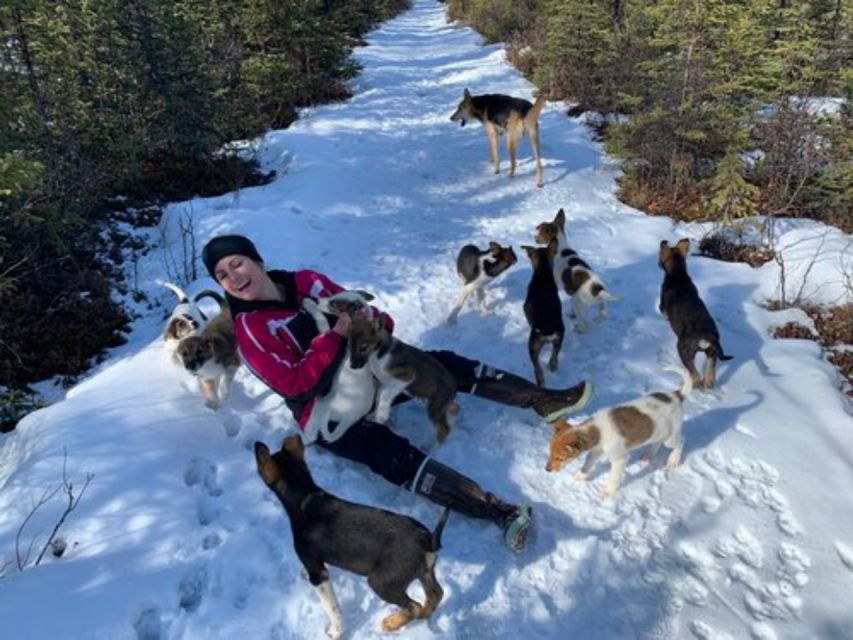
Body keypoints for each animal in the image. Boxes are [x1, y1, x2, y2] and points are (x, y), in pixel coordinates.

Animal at [255, 432, 450, 636]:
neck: (304, 496)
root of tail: (428, 539)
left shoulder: (319, 575)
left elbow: (332, 607)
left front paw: (335, 631)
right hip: (425, 571)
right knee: (436, 594)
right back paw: (423, 615)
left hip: (381, 581)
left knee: (414, 606)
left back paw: (391, 623)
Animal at [348, 312, 460, 442]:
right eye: (350, 346)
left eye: (363, 348)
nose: (352, 366)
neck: (378, 353)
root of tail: (454, 385)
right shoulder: (385, 383)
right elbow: (378, 399)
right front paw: (374, 416)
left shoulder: (406, 376)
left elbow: (384, 397)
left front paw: (381, 416)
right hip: (435, 403)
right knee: (455, 408)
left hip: (434, 407)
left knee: (444, 430)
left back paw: (428, 446)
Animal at [544, 364, 692, 500]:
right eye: (550, 453)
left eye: (559, 458)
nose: (547, 470)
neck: (597, 430)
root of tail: (676, 395)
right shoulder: (596, 450)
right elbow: (587, 462)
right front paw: (580, 476)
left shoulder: (619, 459)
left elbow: (613, 478)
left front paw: (608, 492)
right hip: (658, 431)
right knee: (657, 442)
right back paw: (648, 456)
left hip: (670, 437)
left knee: (681, 441)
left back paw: (673, 461)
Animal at [660, 240, 732, 390]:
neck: (678, 273)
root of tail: (704, 339)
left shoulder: (662, 306)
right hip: (712, 353)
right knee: (709, 375)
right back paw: (707, 383)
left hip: (683, 350)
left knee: (695, 375)